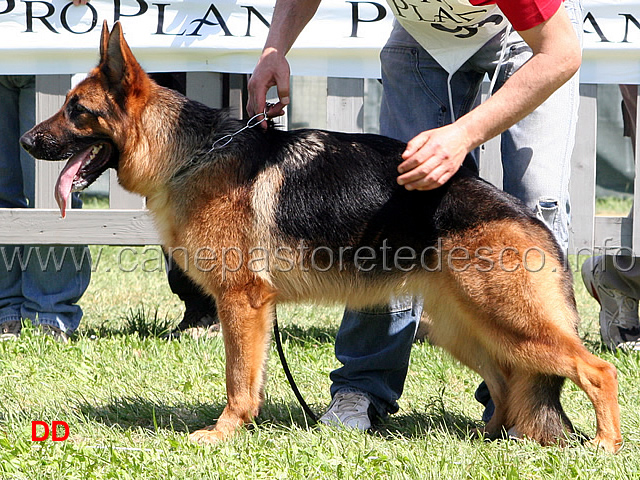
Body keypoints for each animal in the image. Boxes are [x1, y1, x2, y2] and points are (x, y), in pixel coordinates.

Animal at [20, 20, 620, 452]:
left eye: (77, 111)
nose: (26, 141)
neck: (190, 155)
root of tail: (526, 216)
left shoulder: (242, 303)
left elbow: (239, 380)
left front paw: (224, 432)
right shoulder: (249, 308)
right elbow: (248, 377)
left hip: (512, 324)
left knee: (597, 369)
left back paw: (605, 446)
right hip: (466, 330)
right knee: (505, 382)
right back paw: (490, 440)